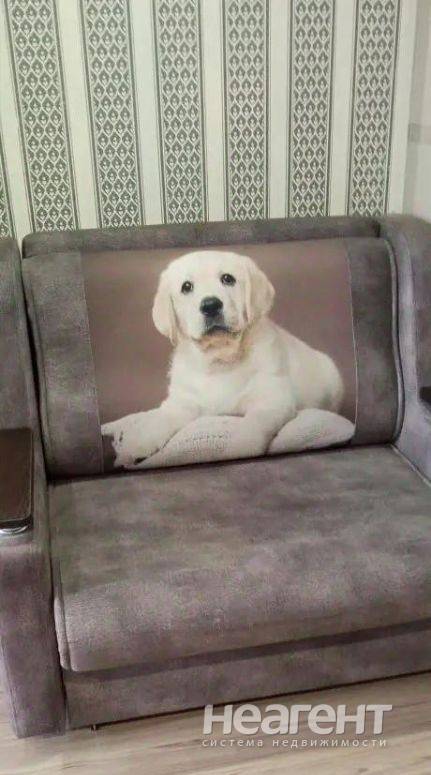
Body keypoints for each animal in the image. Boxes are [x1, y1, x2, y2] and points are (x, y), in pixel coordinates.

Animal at [102, 250, 344, 467]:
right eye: (186, 287)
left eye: (228, 279)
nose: (210, 305)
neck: (219, 359)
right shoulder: (181, 401)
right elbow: (160, 420)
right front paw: (137, 444)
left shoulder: (272, 401)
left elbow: (253, 425)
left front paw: (241, 447)